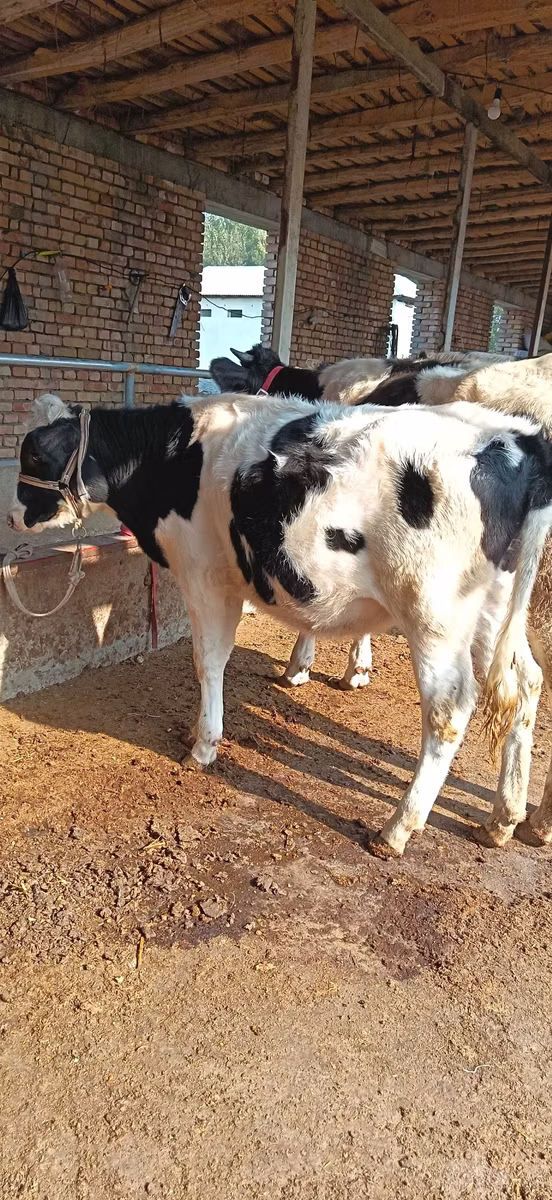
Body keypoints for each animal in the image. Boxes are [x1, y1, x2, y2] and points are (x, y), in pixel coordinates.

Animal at [9, 390, 552, 859]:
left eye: (33, 454)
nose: (13, 516)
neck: (172, 456)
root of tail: (517, 435)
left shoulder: (203, 575)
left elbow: (209, 662)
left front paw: (203, 745)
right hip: (492, 610)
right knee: (525, 684)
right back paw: (503, 818)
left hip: (434, 614)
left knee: (449, 709)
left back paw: (397, 828)